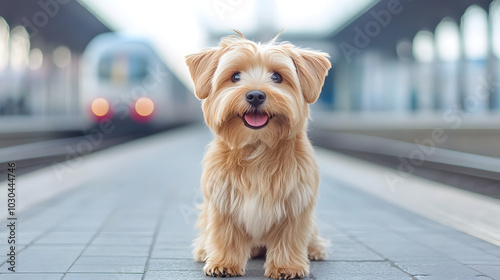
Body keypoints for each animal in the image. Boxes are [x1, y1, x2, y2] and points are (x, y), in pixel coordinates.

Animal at [186, 31, 330, 278]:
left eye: (277, 77)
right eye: (235, 76)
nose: (255, 95)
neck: (257, 146)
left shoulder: (296, 203)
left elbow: (289, 237)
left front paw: (287, 266)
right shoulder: (223, 202)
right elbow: (225, 235)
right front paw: (223, 263)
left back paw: (314, 249)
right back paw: (205, 250)